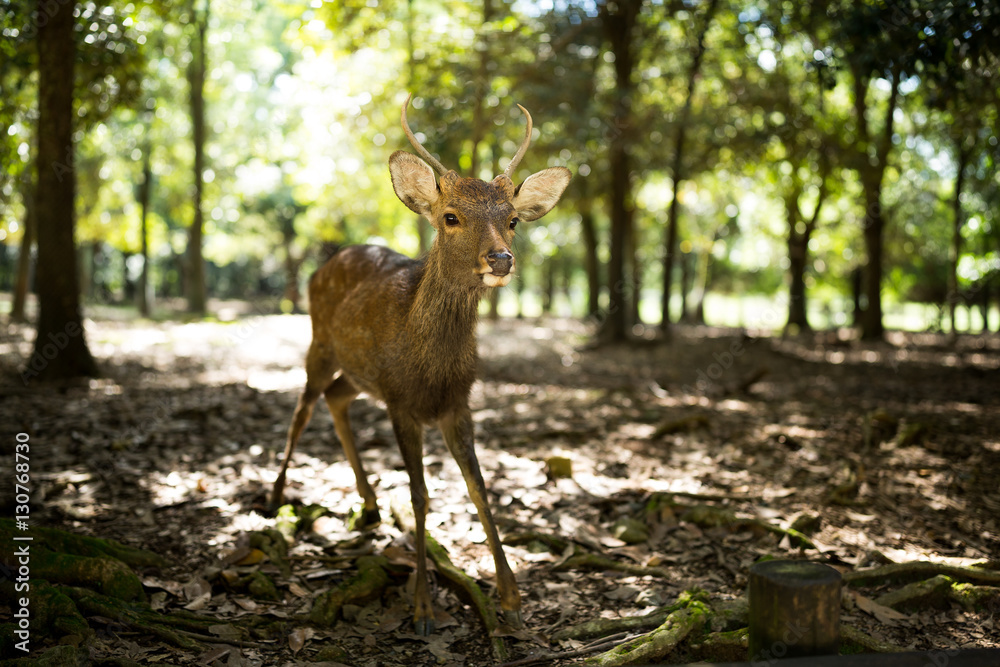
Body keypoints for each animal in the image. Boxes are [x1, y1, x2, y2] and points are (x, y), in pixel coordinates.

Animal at [272, 95, 572, 636]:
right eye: (450, 217)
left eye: (514, 219)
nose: (501, 259)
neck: (431, 371)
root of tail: (327, 262)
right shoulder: (401, 402)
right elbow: (420, 495)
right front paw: (422, 609)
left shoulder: (457, 403)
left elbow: (479, 490)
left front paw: (512, 599)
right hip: (320, 343)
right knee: (304, 406)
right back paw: (274, 496)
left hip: (359, 372)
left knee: (335, 397)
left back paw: (369, 504)